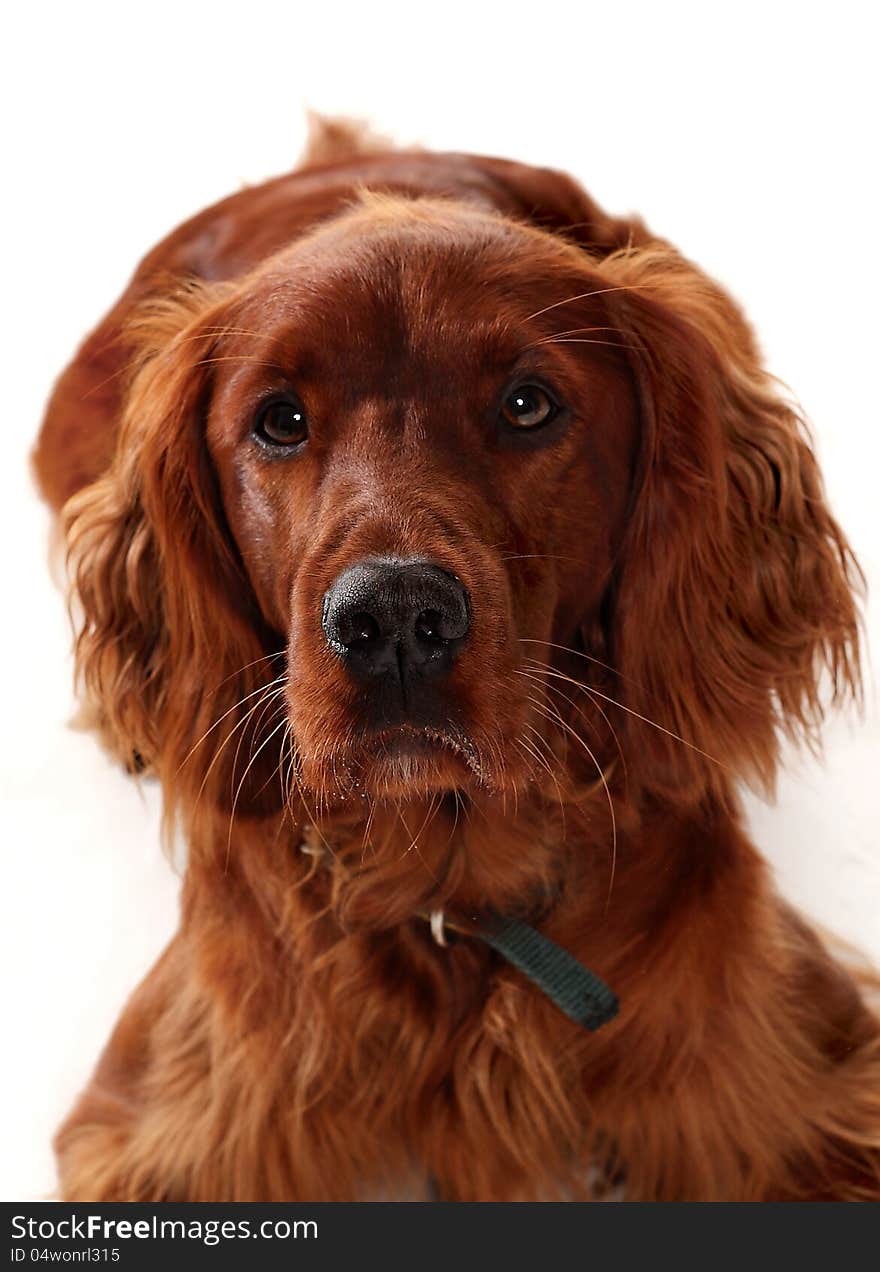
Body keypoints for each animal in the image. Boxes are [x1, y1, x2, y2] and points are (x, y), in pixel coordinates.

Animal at [34, 114, 880, 1195]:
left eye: (528, 404)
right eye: (279, 420)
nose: (394, 618)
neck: (452, 884)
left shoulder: (801, 1100)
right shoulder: (168, 1130)